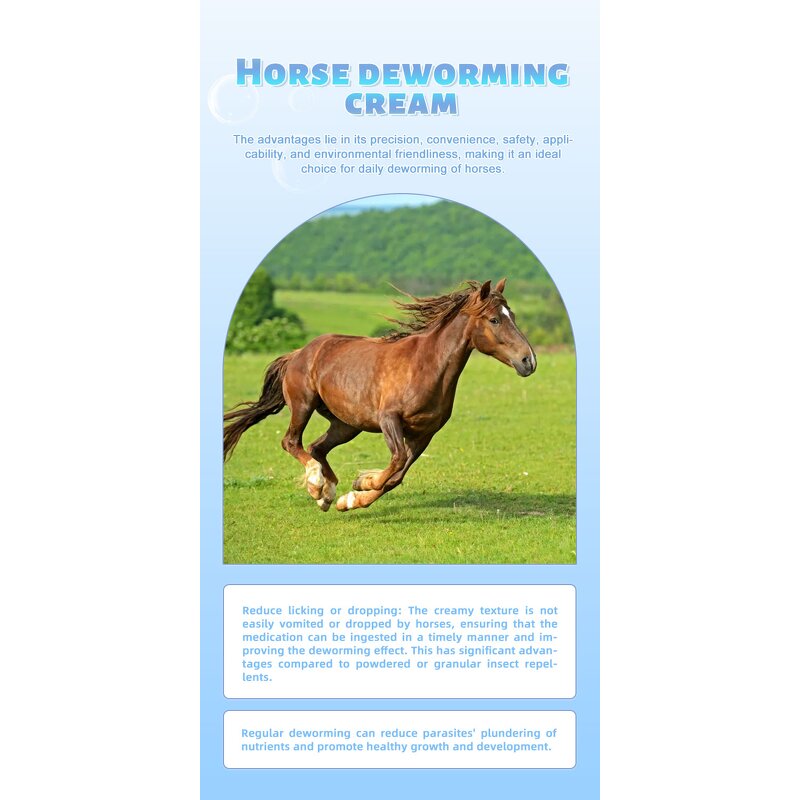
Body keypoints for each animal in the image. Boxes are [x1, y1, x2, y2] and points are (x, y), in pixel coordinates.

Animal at [223, 278, 536, 512]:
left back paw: (327, 494)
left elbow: (397, 476)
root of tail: (299, 352)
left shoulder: (425, 434)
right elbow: (396, 462)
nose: (528, 361)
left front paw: (353, 496)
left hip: (346, 424)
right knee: (292, 442)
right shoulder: (389, 420)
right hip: (303, 405)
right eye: (494, 320)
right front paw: (364, 482)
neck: (426, 365)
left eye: (512, 316)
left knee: (317, 447)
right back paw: (316, 483)